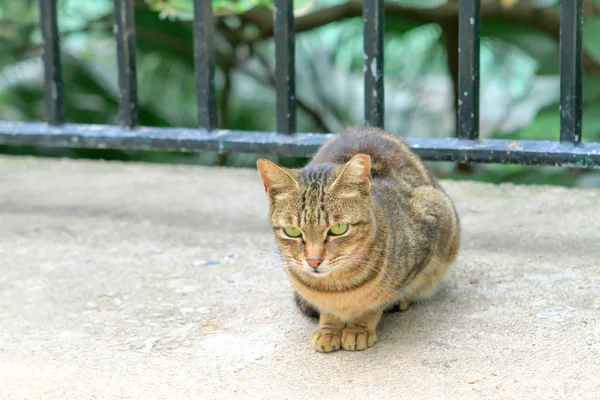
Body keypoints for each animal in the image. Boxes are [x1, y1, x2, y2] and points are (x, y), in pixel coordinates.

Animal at [256, 126, 460, 352]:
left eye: (338, 228)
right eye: (292, 231)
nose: (314, 261)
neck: (337, 288)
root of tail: (362, 127)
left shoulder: (433, 219)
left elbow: (376, 303)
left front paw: (359, 328)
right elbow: (329, 312)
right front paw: (329, 328)